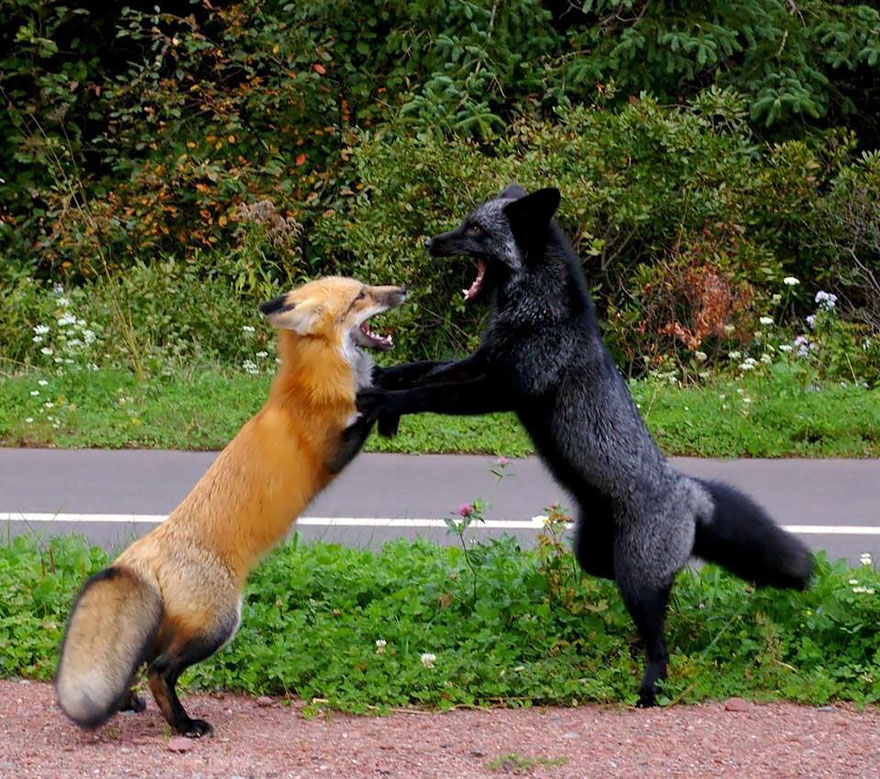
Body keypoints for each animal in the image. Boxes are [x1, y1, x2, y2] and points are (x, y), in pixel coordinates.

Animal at [55, 276, 406, 736]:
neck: (315, 379)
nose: (402, 290)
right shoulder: (332, 450)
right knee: (159, 671)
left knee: (140, 666)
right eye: (361, 295)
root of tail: (141, 552)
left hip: (172, 628)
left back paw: (131, 703)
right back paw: (184, 724)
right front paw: (385, 397)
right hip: (220, 624)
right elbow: (367, 409)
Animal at [358, 185, 814, 707]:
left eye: (475, 230)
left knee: (661, 641)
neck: (533, 313)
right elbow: (423, 369)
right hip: (596, 555)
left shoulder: (501, 388)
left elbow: (425, 394)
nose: (430, 242)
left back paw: (649, 690)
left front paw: (383, 402)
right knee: (635, 586)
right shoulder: (482, 362)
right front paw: (383, 381)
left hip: (636, 579)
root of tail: (683, 490)